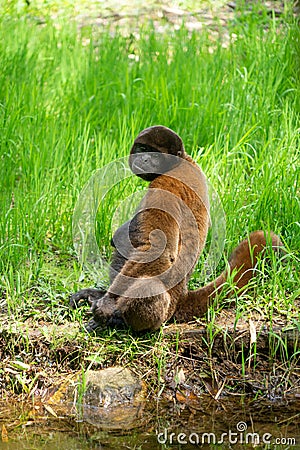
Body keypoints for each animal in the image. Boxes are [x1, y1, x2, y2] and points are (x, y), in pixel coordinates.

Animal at [71, 125, 284, 332]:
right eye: (142, 149)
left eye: (154, 154)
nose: (144, 158)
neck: (181, 161)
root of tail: (181, 297)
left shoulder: (166, 185)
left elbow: (156, 249)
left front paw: (107, 306)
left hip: (164, 311)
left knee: (148, 284)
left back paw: (119, 320)